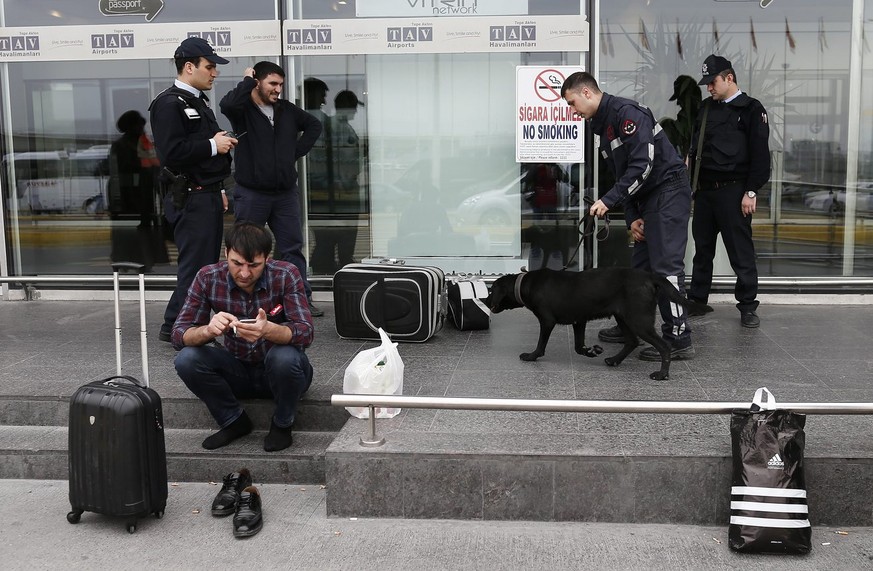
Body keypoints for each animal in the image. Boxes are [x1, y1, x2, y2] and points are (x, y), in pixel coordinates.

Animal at [488, 268, 704, 380]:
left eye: (491, 291)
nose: (485, 300)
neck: (525, 284)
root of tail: (649, 276)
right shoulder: (579, 320)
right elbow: (578, 347)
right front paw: (591, 351)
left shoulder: (547, 321)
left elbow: (541, 344)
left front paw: (531, 356)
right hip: (623, 317)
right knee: (632, 341)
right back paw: (614, 360)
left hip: (639, 320)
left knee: (664, 346)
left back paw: (662, 374)